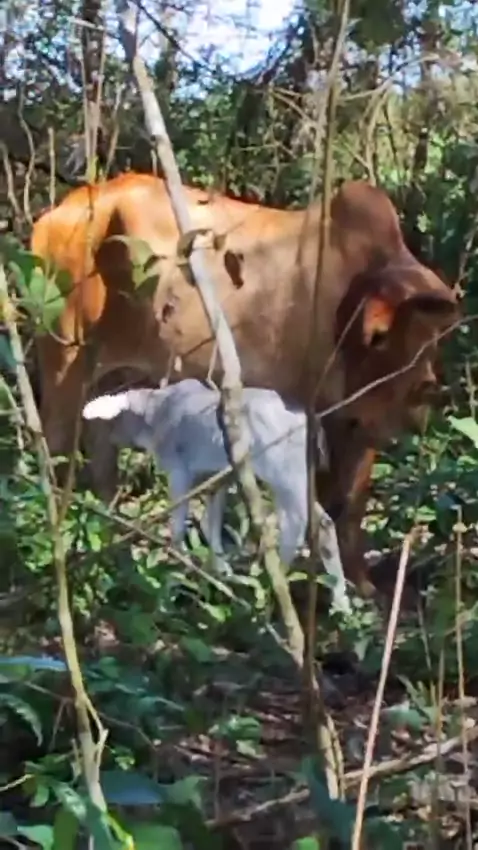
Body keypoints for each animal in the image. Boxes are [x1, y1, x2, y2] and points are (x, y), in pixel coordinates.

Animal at [30, 172, 459, 593]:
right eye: (391, 336)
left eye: (433, 337)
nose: (425, 391)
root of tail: (57, 215)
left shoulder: (357, 425)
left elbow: (351, 504)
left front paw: (361, 587)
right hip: (64, 360)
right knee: (55, 448)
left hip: (112, 378)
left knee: (102, 460)